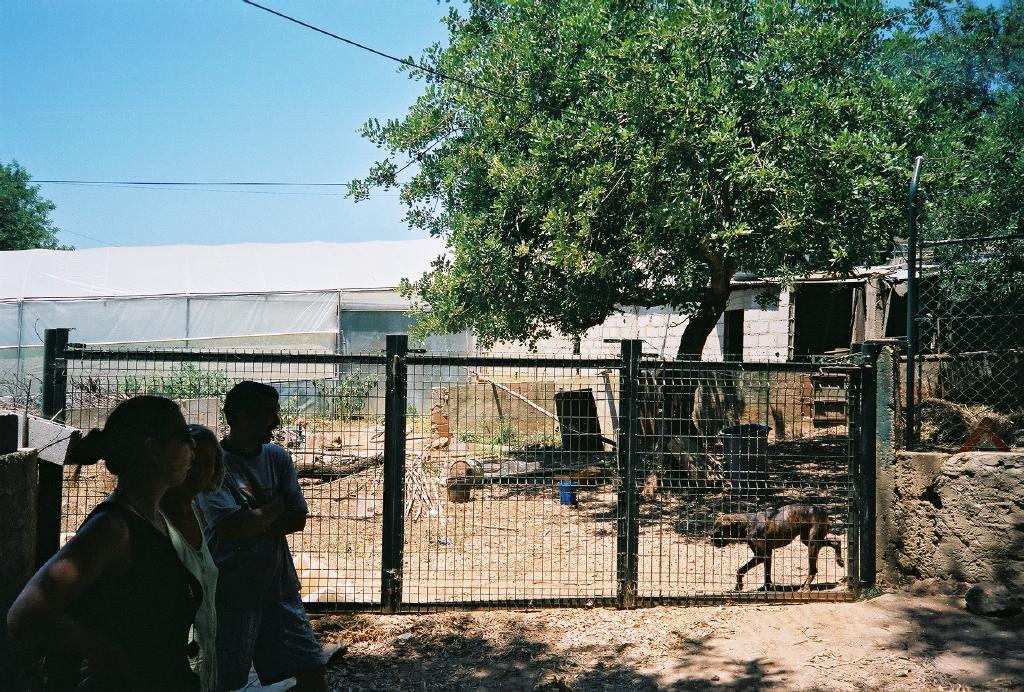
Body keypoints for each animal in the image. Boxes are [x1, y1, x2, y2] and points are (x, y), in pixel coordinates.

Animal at [708, 503, 843, 589]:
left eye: (719, 529)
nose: (710, 538)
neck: (746, 525)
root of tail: (822, 511)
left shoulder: (761, 555)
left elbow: (741, 569)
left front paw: (740, 585)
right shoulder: (767, 555)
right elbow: (766, 574)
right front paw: (766, 588)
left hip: (812, 544)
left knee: (813, 569)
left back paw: (805, 587)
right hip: (808, 540)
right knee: (836, 541)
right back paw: (840, 561)